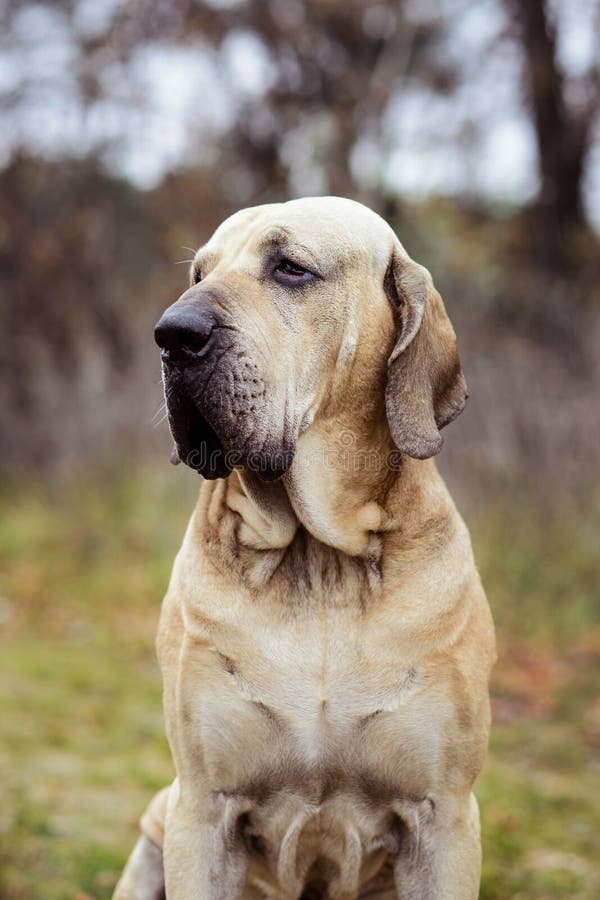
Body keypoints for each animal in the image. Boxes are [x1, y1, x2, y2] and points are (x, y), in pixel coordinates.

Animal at [115, 199, 494, 900]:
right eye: (200, 273)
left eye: (291, 268)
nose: (172, 334)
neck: (319, 560)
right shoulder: (199, 809)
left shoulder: (445, 819)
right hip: (158, 822)